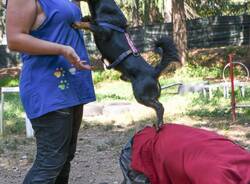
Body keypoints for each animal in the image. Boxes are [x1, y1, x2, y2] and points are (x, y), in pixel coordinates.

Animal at [72, 0, 180, 130]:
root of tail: (154, 72)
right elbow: (90, 20)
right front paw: (85, 17)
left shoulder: (103, 31)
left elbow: (89, 25)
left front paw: (77, 23)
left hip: (142, 95)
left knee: (160, 106)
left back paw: (159, 124)